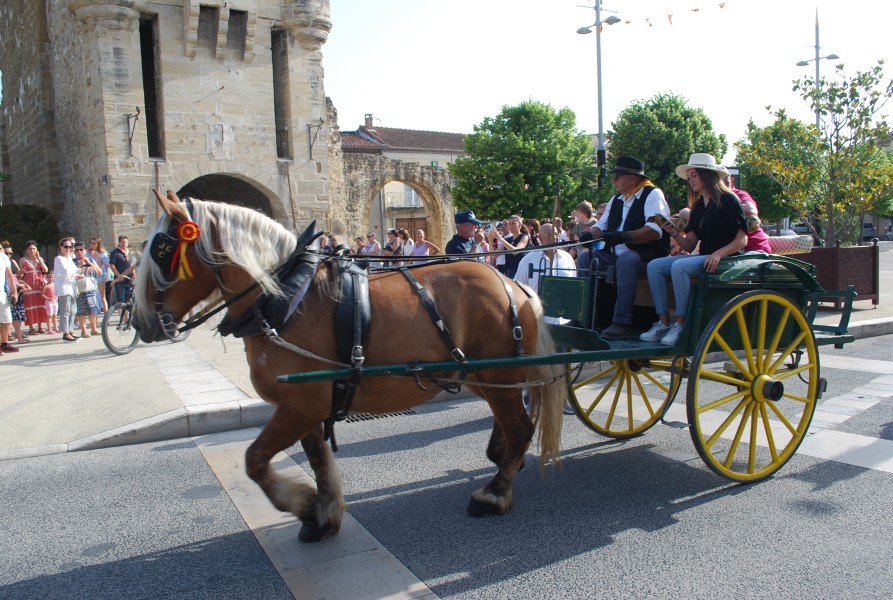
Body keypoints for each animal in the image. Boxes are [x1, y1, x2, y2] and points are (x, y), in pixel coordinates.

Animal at [132, 192, 564, 544]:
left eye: (162, 249)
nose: (140, 322)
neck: (287, 297)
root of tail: (514, 285)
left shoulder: (300, 405)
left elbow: (255, 460)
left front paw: (302, 504)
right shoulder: (305, 405)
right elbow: (318, 461)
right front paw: (320, 514)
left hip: (496, 374)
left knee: (520, 427)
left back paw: (494, 493)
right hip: (483, 375)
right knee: (510, 423)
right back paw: (503, 459)